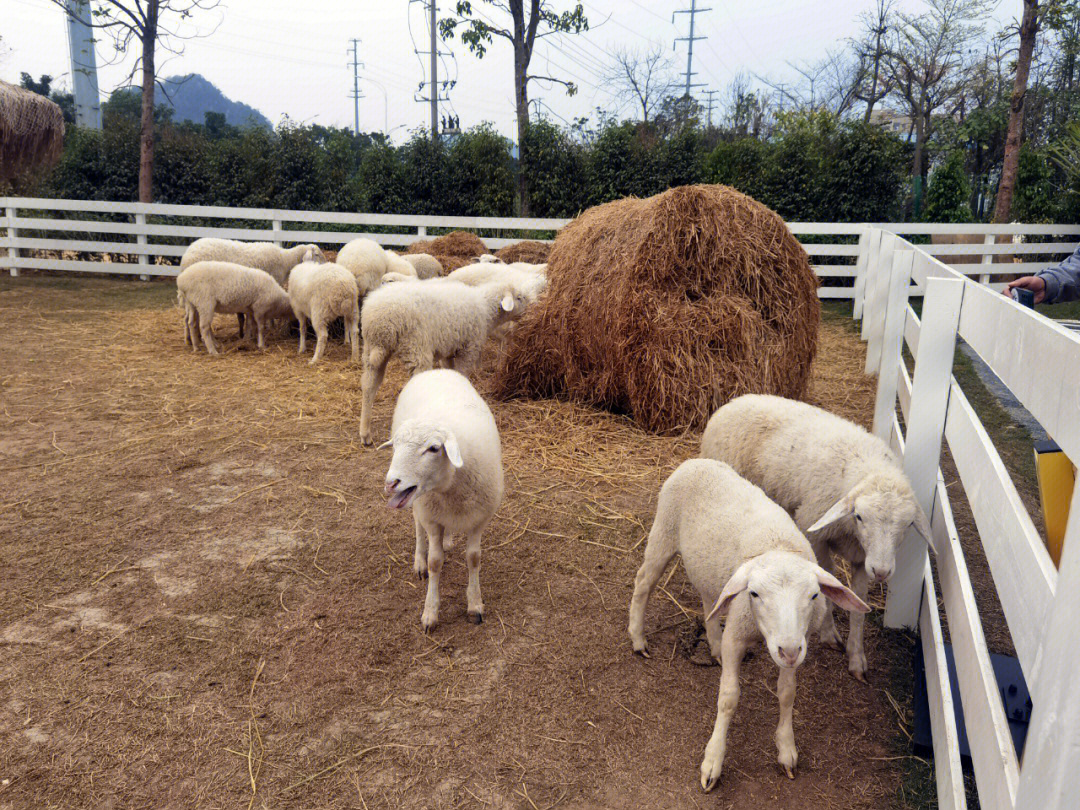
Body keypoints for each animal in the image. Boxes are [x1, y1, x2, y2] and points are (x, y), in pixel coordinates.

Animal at [360, 278, 529, 444]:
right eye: (519, 298)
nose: (529, 312)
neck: (486, 309)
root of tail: (381, 321)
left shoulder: (449, 351)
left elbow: (450, 372)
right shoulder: (468, 348)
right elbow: (462, 374)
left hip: (371, 352)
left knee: (368, 386)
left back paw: (365, 433)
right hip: (416, 348)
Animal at [378, 371, 503, 630]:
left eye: (434, 448)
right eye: (395, 446)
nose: (390, 483)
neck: (449, 486)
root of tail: (435, 370)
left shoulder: (479, 519)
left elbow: (474, 558)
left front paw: (475, 605)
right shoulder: (431, 517)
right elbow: (435, 562)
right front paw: (430, 612)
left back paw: (447, 541)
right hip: (418, 504)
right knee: (417, 526)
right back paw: (419, 561)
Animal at [626, 460, 868, 794]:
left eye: (814, 595)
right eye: (754, 594)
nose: (788, 651)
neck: (779, 547)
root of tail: (696, 462)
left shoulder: (797, 641)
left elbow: (787, 693)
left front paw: (786, 749)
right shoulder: (737, 636)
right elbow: (728, 698)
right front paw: (713, 761)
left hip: (710, 571)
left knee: (710, 602)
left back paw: (713, 645)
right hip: (662, 534)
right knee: (643, 584)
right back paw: (638, 638)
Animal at [699, 397, 937, 682]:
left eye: (908, 524)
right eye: (859, 516)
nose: (881, 571)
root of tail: (734, 401)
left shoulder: (861, 557)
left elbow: (858, 603)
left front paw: (856, 657)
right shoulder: (816, 535)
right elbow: (828, 577)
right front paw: (828, 633)